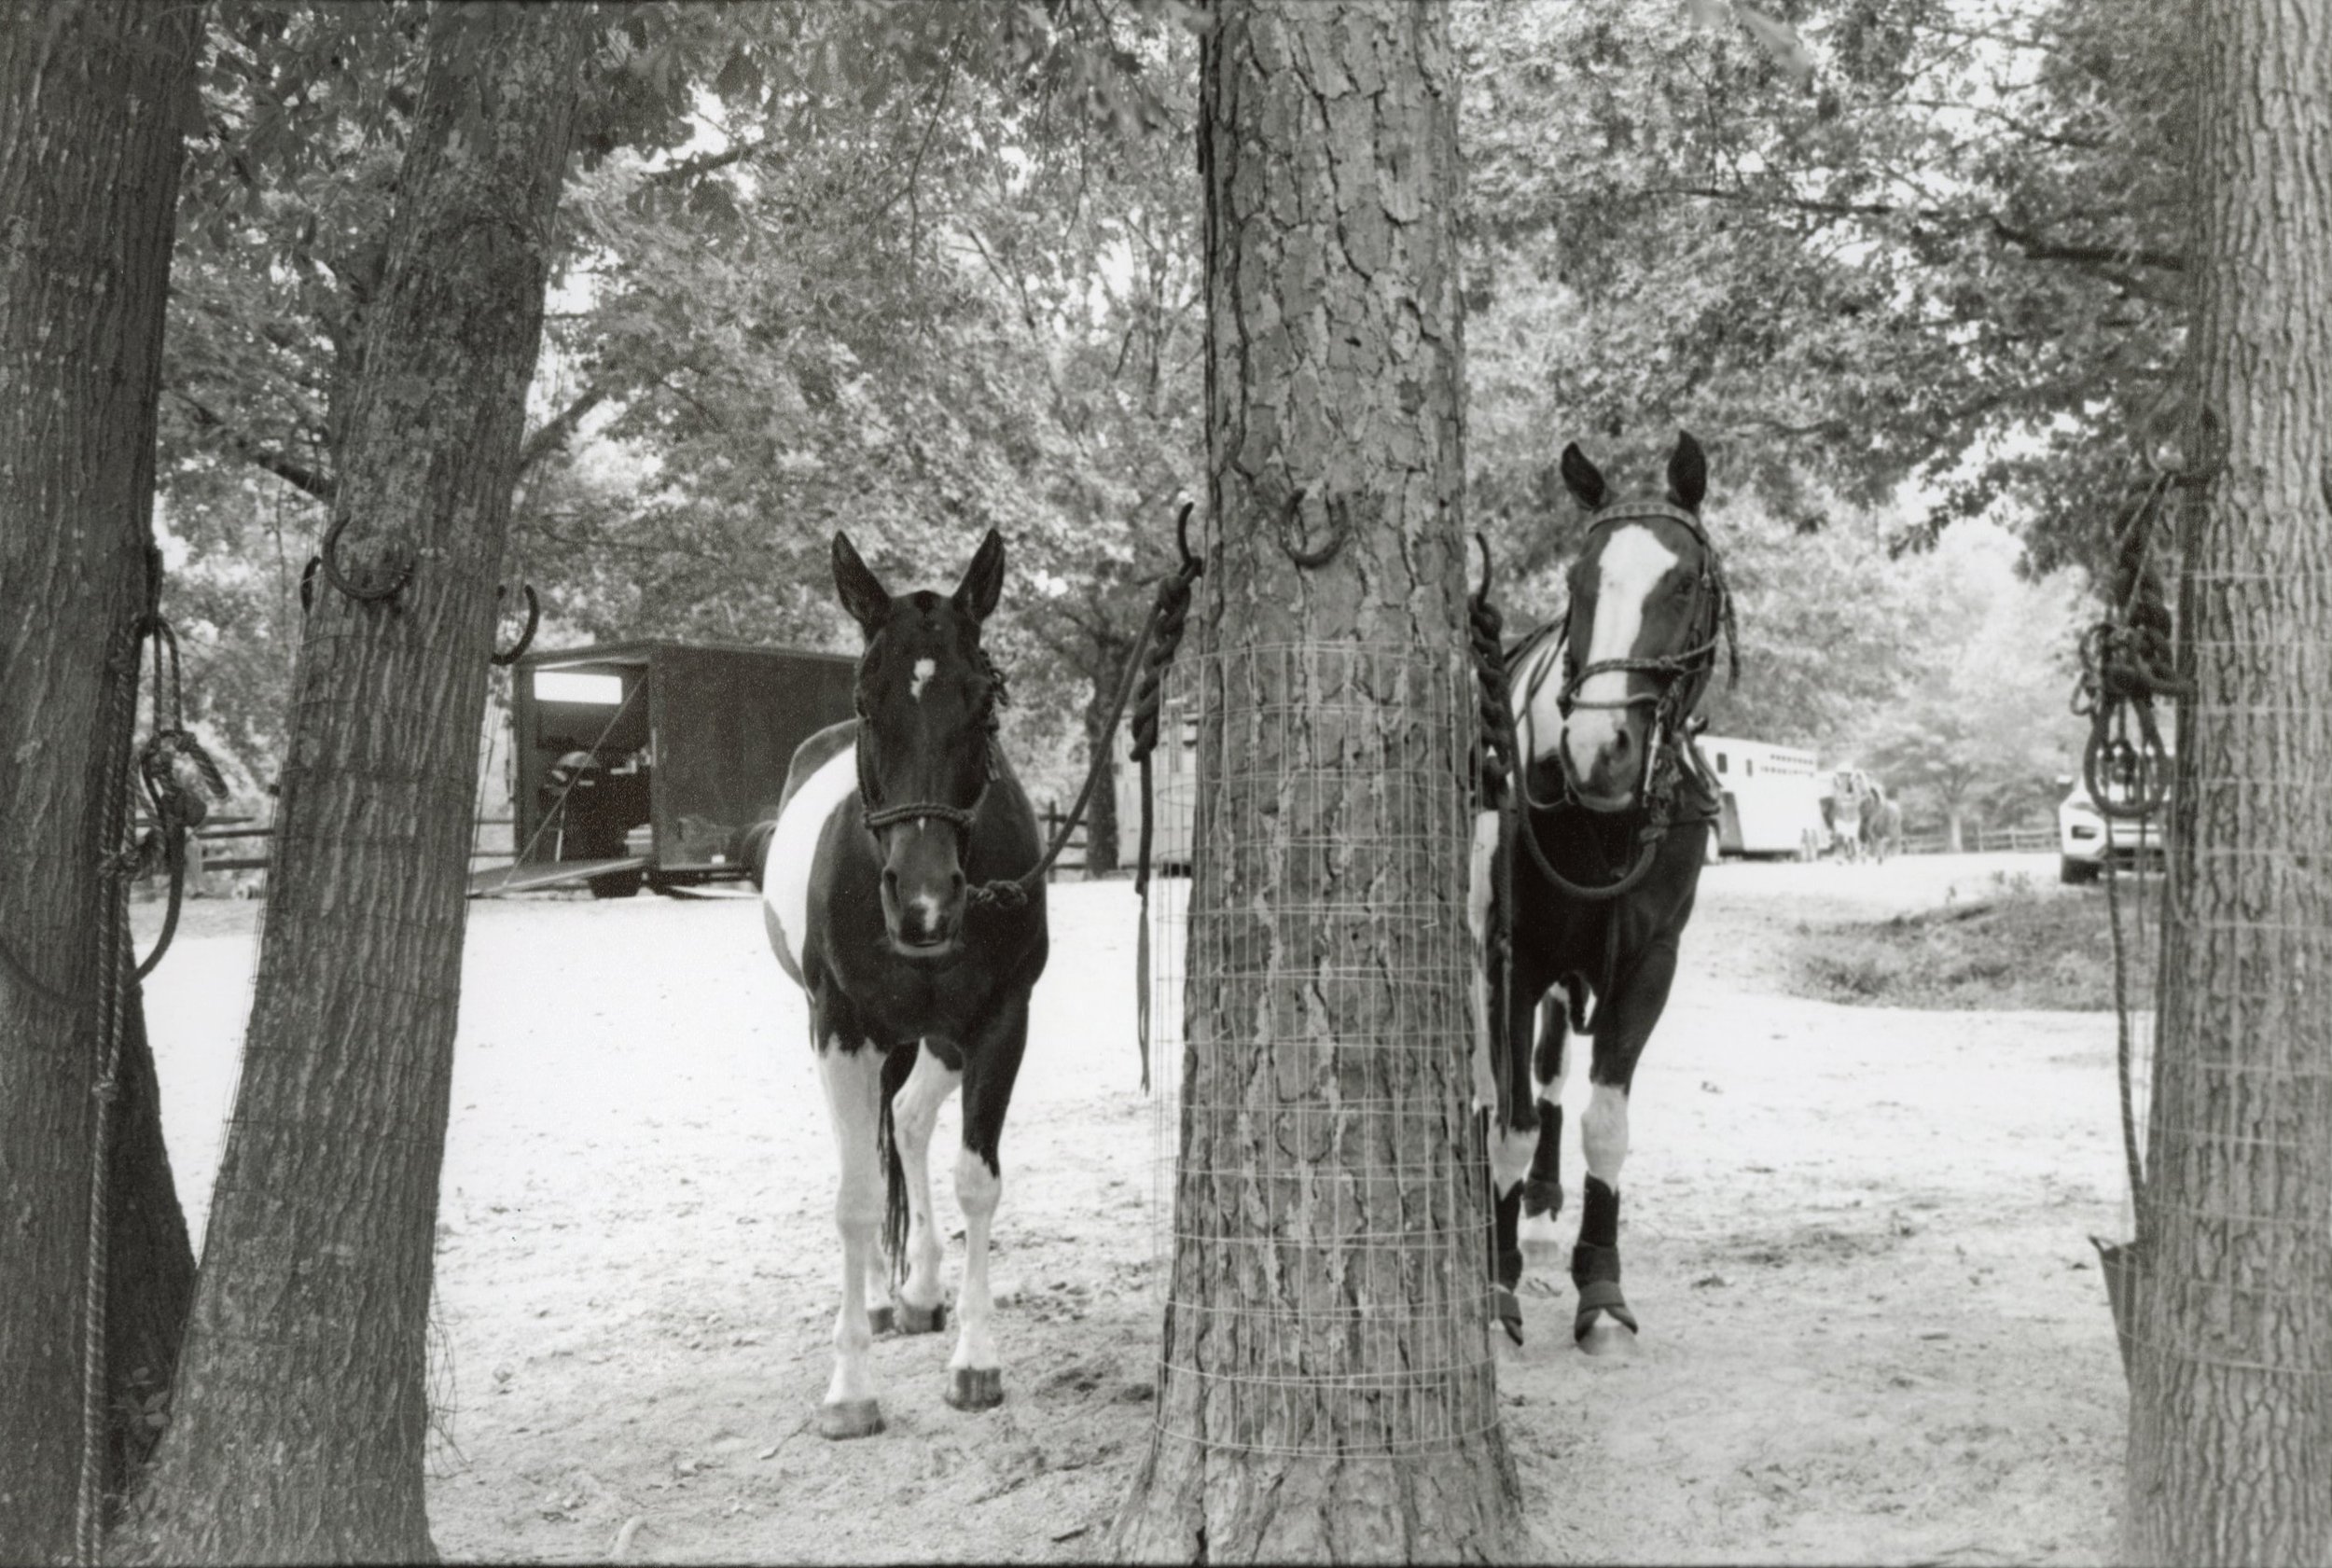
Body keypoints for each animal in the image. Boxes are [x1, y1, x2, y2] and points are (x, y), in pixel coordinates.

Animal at [759, 529, 1048, 1440]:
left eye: (985, 703)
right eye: (865, 698)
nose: (922, 902)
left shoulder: (999, 1022)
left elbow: (975, 1179)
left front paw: (976, 1361)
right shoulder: (841, 1029)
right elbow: (854, 1197)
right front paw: (849, 1387)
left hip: (941, 1037)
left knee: (912, 1120)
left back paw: (919, 1288)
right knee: (877, 1141)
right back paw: (888, 1297)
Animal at [1477, 430, 1732, 1354]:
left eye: (1685, 581)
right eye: (1578, 581)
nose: (1600, 746)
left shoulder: (1648, 964)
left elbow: (1604, 1122)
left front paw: (1600, 1280)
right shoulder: (1509, 958)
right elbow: (1508, 1122)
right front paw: (1498, 1278)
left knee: (1553, 1069)